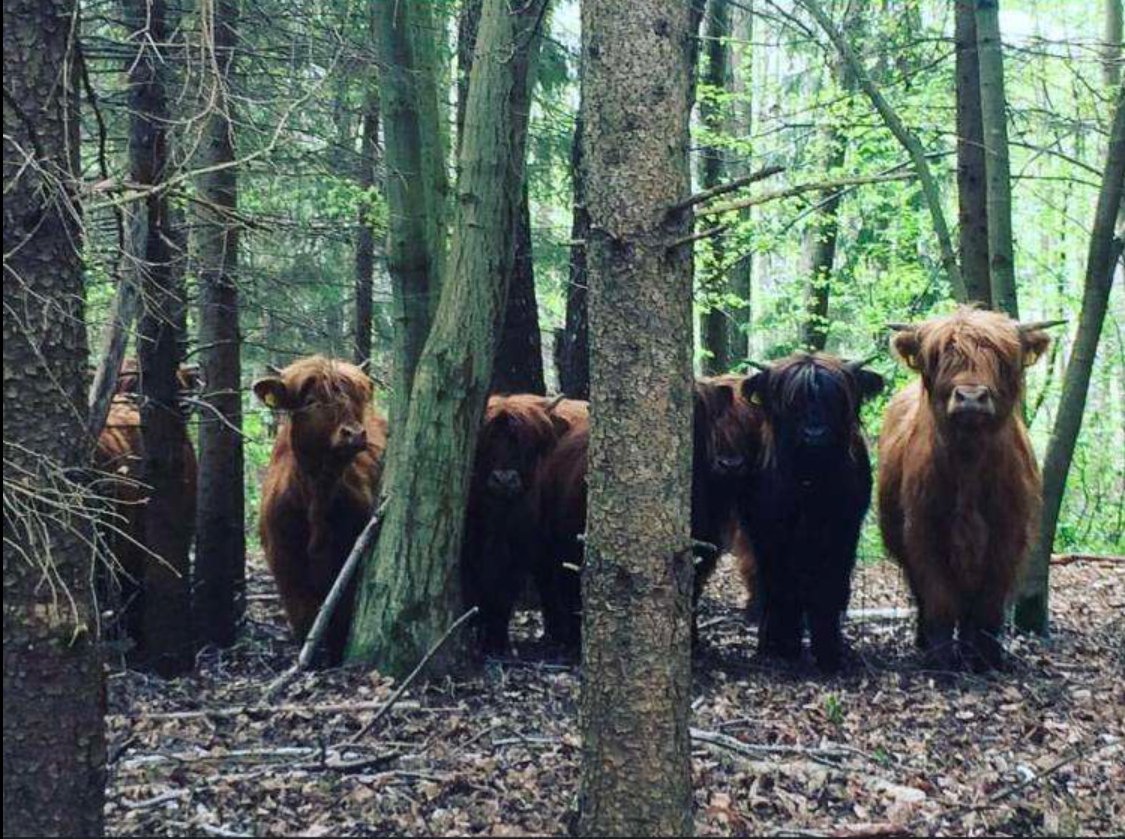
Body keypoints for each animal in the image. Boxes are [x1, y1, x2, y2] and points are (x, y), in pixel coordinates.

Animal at [253, 356, 388, 665]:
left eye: (358, 397)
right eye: (312, 401)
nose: (354, 434)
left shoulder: (347, 559)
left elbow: (340, 613)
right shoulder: (286, 564)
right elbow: (302, 615)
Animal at [461, 394, 586, 656]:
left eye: (525, 444)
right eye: (486, 441)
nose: (504, 479)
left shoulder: (521, 550)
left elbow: (503, 593)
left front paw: (496, 642)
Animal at [738, 353, 883, 673]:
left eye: (836, 400)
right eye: (791, 402)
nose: (814, 434)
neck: (809, 482)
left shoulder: (843, 532)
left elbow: (829, 588)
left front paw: (829, 652)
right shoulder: (769, 534)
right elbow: (781, 588)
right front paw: (785, 646)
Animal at [878, 308, 1053, 670]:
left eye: (1001, 358)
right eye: (940, 357)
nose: (971, 397)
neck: (969, 465)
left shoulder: (1007, 535)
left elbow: (987, 604)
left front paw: (986, 658)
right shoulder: (924, 532)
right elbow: (940, 599)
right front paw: (943, 658)